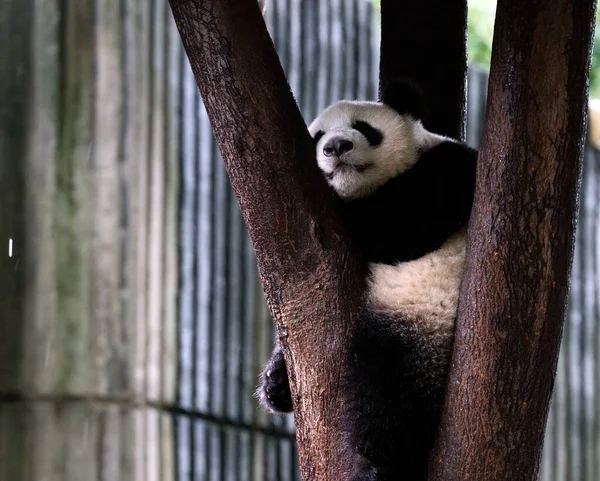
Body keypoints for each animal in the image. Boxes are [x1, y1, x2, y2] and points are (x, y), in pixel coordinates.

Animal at [256, 80, 478, 478]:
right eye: (317, 137)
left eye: (364, 128)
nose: (335, 147)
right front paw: (275, 383)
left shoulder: (450, 169)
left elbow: (401, 228)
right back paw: (278, 383)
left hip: (426, 323)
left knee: (392, 392)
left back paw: (381, 465)